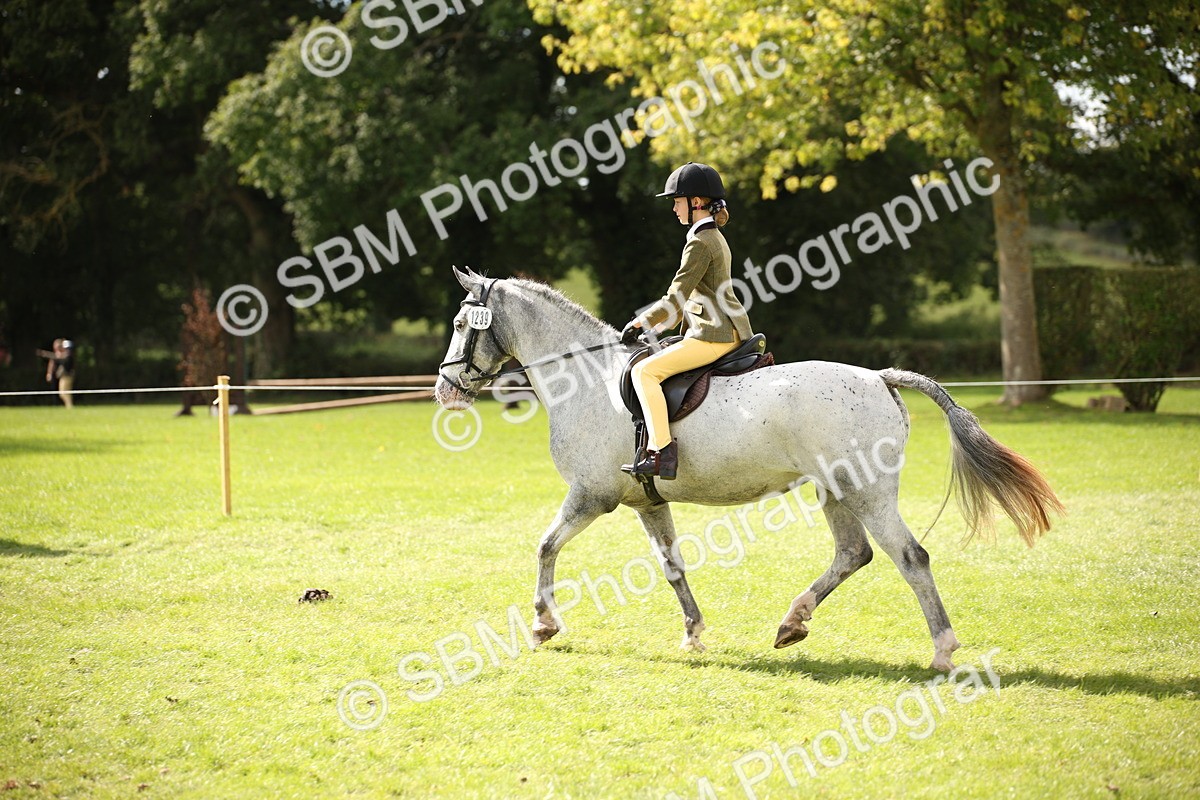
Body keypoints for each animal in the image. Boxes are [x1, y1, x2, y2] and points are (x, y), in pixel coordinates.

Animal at [434, 266, 1062, 671]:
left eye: (464, 325)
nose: (444, 389)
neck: (584, 379)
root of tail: (879, 376)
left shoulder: (592, 496)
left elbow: (545, 545)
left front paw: (543, 624)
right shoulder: (646, 501)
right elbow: (673, 568)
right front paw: (693, 634)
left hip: (866, 491)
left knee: (909, 558)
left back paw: (942, 650)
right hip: (835, 490)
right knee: (852, 554)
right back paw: (792, 623)